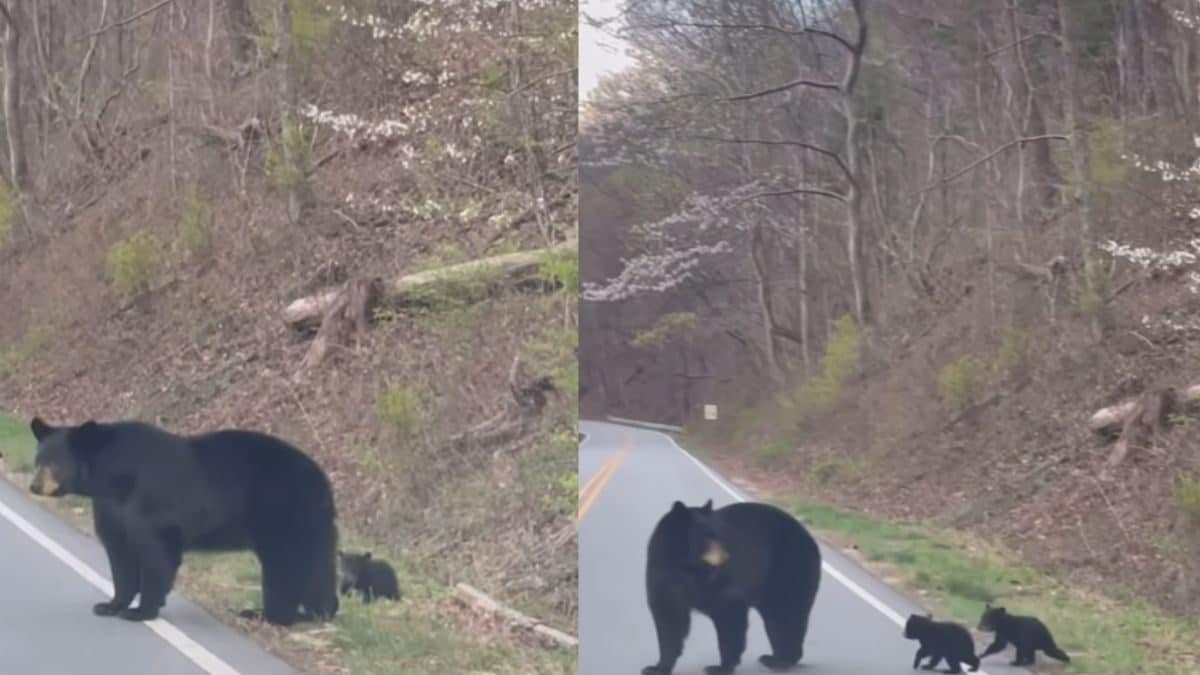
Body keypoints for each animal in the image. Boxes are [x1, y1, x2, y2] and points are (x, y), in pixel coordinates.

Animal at [28, 416, 339, 626]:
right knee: (317, 567)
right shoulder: (111, 508)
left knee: (285, 566)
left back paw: (267, 614)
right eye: (38, 460)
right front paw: (111, 604)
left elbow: (156, 553)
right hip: (311, 524)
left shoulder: (149, 505)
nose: (34, 486)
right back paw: (319, 612)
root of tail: (323, 481)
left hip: (282, 513)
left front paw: (141, 610)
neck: (113, 477)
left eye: (55, 463)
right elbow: (120, 554)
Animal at [643, 499, 822, 675]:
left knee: (785, 616)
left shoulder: (715, 581)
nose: (725, 556)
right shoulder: (662, 576)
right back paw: (776, 658)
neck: (686, 568)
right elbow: (669, 619)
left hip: (786, 571)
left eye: (717, 534)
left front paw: (720, 667)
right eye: (706, 537)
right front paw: (657, 667)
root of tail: (810, 539)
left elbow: (729, 612)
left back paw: (779, 660)